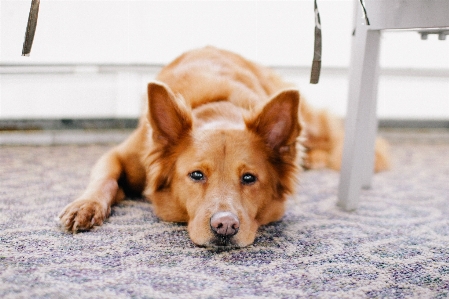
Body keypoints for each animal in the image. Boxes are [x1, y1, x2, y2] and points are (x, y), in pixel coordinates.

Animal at [59, 47, 388, 248]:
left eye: (249, 178)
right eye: (196, 175)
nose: (225, 226)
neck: (217, 108)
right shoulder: (122, 155)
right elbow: (104, 178)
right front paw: (85, 206)